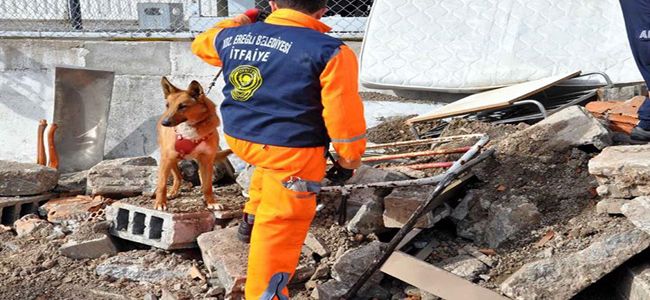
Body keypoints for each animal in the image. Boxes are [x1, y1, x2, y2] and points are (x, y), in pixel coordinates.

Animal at [155, 77, 230, 211]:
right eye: (168, 105)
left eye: (182, 106)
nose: (165, 122)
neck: (190, 128)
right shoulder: (167, 158)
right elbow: (162, 185)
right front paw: (160, 203)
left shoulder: (206, 159)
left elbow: (208, 186)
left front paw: (211, 202)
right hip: (170, 158)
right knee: (178, 177)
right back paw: (173, 192)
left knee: (200, 177)